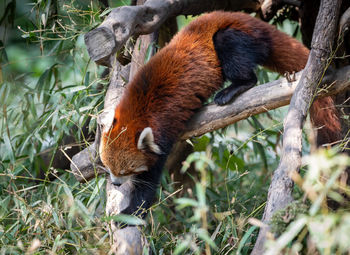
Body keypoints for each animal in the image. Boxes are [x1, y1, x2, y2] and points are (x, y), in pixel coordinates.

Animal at [100, 10, 340, 217]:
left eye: (126, 171)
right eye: (109, 167)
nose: (116, 183)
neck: (137, 111)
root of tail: (247, 19)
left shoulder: (163, 130)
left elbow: (149, 183)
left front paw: (131, 211)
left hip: (236, 37)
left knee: (236, 57)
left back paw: (233, 89)